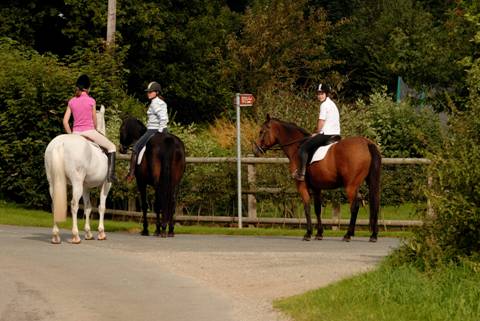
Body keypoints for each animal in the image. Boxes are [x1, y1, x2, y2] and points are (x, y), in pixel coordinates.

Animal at [44, 105, 112, 242]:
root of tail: (60, 143)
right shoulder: (106, 184)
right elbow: (101, 207)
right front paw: (101, 232)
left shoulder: (86, 187)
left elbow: (88, 208)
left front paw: (88, 233)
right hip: (76, 183)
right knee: (74, 205)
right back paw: (75, 236)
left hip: (53, 182)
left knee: (55, 205)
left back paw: (56, 235)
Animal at [251, 114, 382, 241]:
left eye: (262, 131)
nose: (255, 150)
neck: (296, 147)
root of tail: (367, 143)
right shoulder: (316, 188)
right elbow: (317, 209)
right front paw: (319, 233)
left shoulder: (302, 186)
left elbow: (307, 207)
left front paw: (308, 233)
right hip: (364, 183)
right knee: (374, 203)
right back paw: (373, 235)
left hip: (351, 186)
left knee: (354, 207)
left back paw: (348, 235)